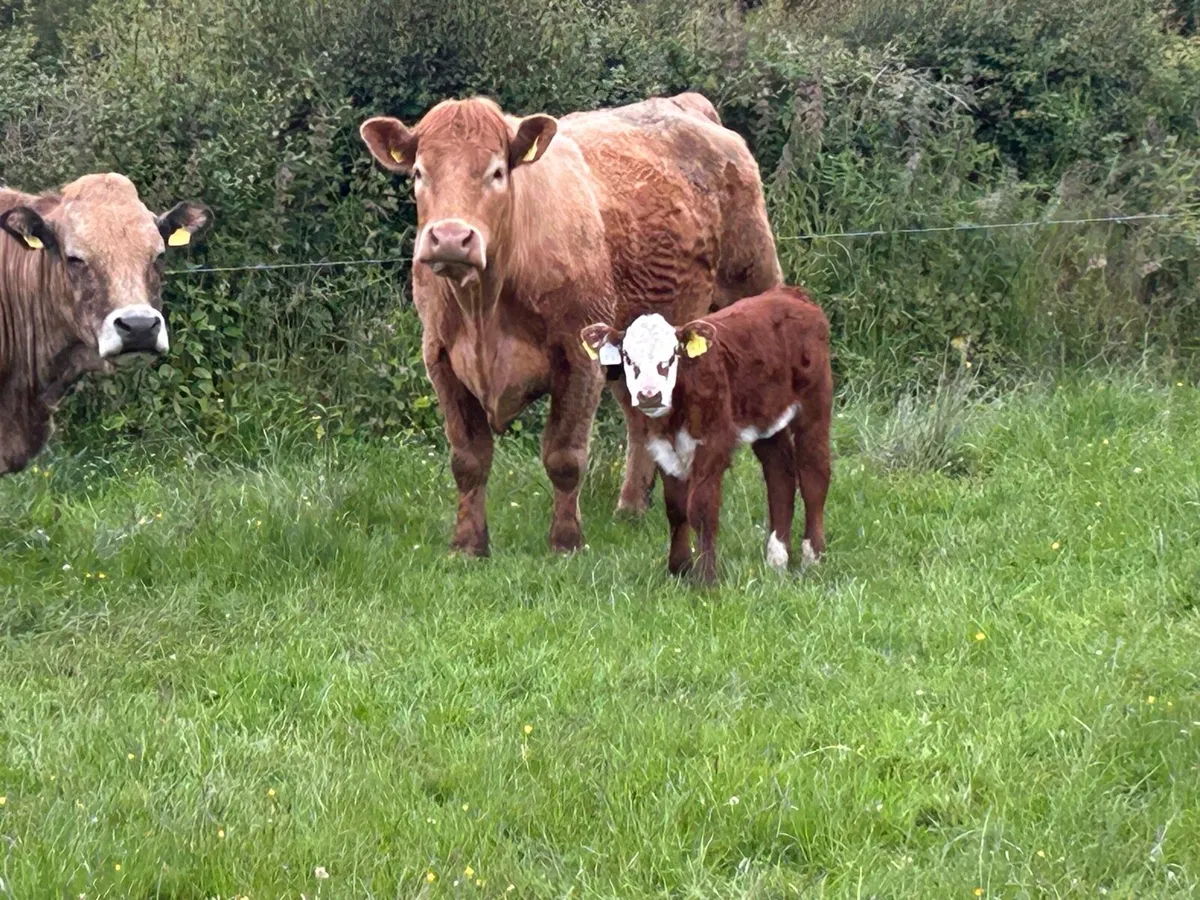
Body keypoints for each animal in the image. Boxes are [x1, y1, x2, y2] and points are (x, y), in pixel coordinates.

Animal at [359, 92, 781, 556]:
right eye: (419, 172)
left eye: (497, 171)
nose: (451, 238)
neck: (484, 310)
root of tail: (686, 103)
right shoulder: (441, 358)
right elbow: (468, 459)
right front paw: (468, 545)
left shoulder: (579, 356)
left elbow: (564, 456)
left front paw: (566, 541)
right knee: (642, 420)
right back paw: (631, 508)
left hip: (754, 281)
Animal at [581, 286, 832, 585]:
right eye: (628, 358)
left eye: (672, 356)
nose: (649, 395)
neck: (673, 414)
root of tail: (791, 294)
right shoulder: (661, 448)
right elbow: (676, 509)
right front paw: (678, 569)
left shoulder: (713, 444)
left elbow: (701, 508)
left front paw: (706, 579)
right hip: (767, 417)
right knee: (779, 473)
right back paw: (777, 559)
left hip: (815, 403)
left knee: (813, 474)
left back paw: (812, 558)